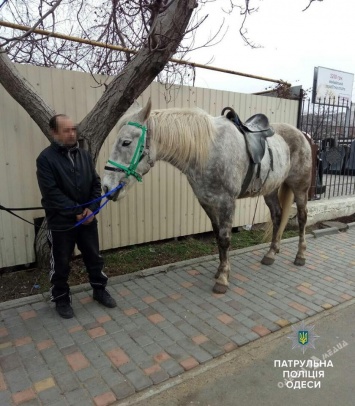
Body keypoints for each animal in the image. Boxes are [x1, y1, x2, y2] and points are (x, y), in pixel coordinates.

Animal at [102, 100, 312, 294]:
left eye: (126, 142)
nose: (106, 186)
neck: (209, 151)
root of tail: (303, 134)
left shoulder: (227, 203)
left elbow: (225, 238)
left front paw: (223, 280)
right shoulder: (207, 202)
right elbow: (217, 237)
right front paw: (220, 271)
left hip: (300, 188)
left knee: (302, 218)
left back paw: (300, 256)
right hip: (270, 189)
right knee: (277, 216)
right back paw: (271, 253)